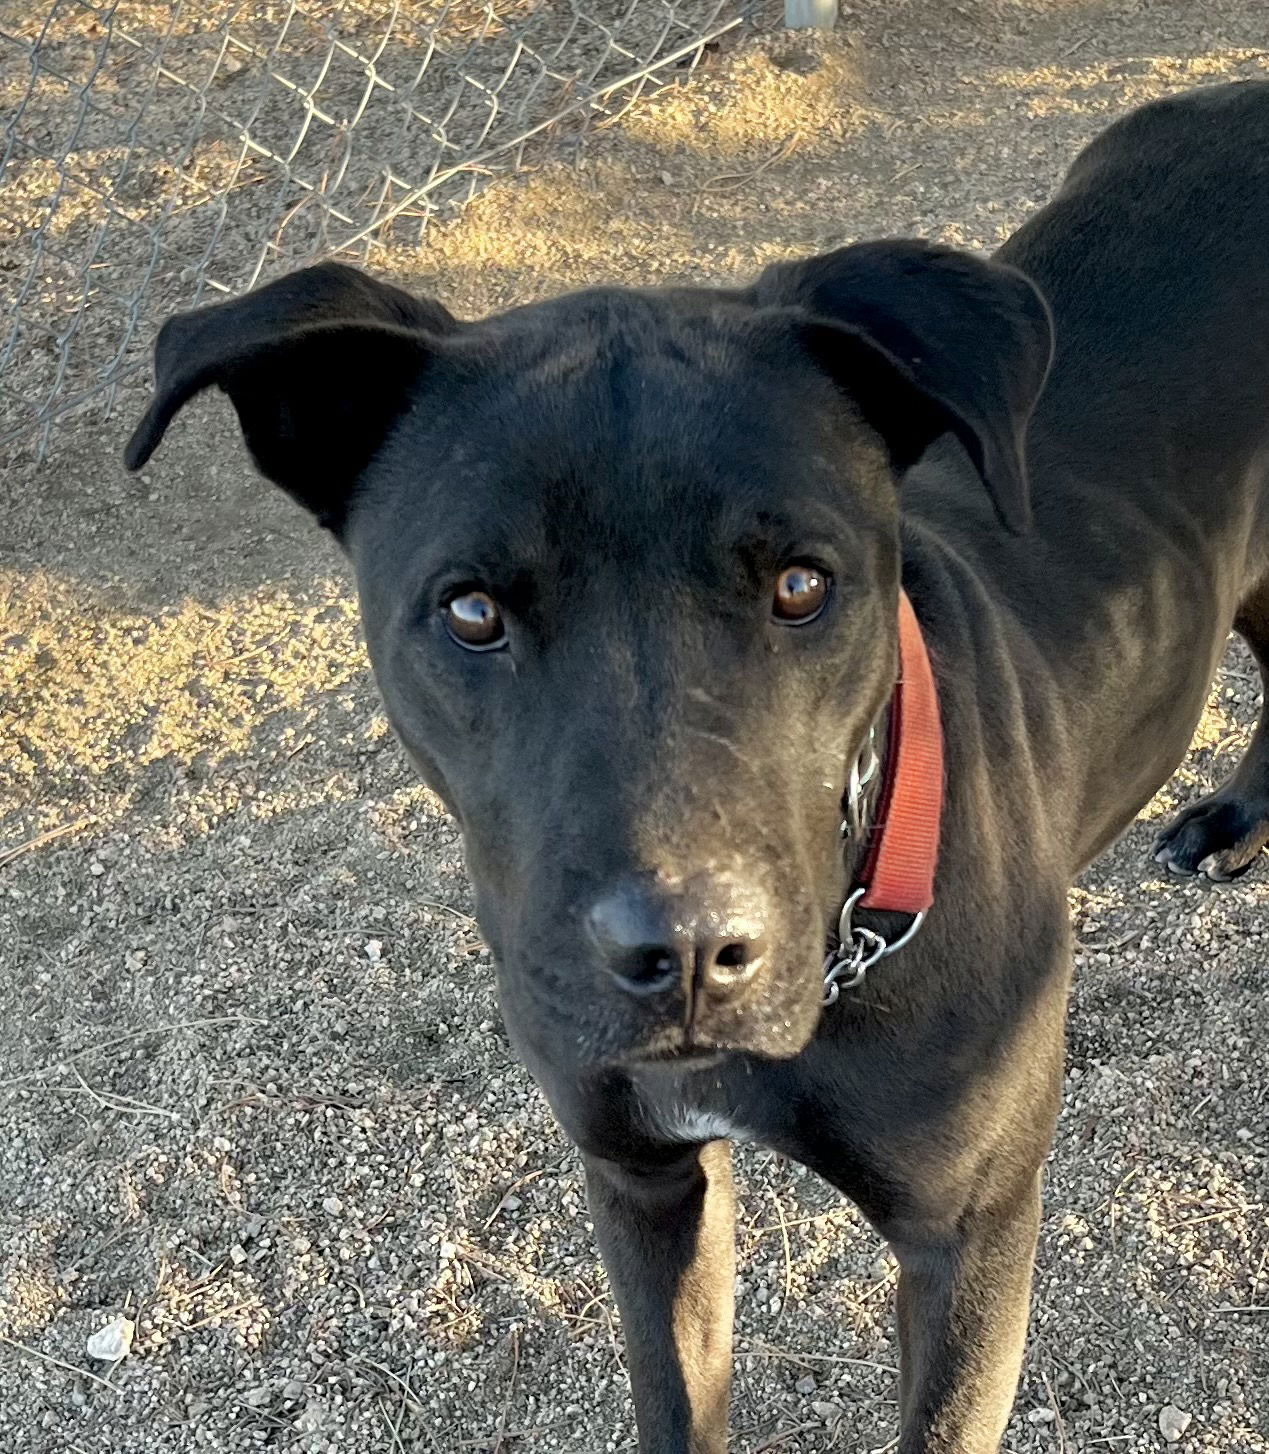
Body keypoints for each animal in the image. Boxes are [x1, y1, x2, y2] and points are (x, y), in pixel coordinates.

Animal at [123, 87, 1267, 1454]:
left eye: (802, 584)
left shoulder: (970, 1238)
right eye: (470, 610)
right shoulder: (643, 1176)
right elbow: (678, 1393)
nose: (682, 953)